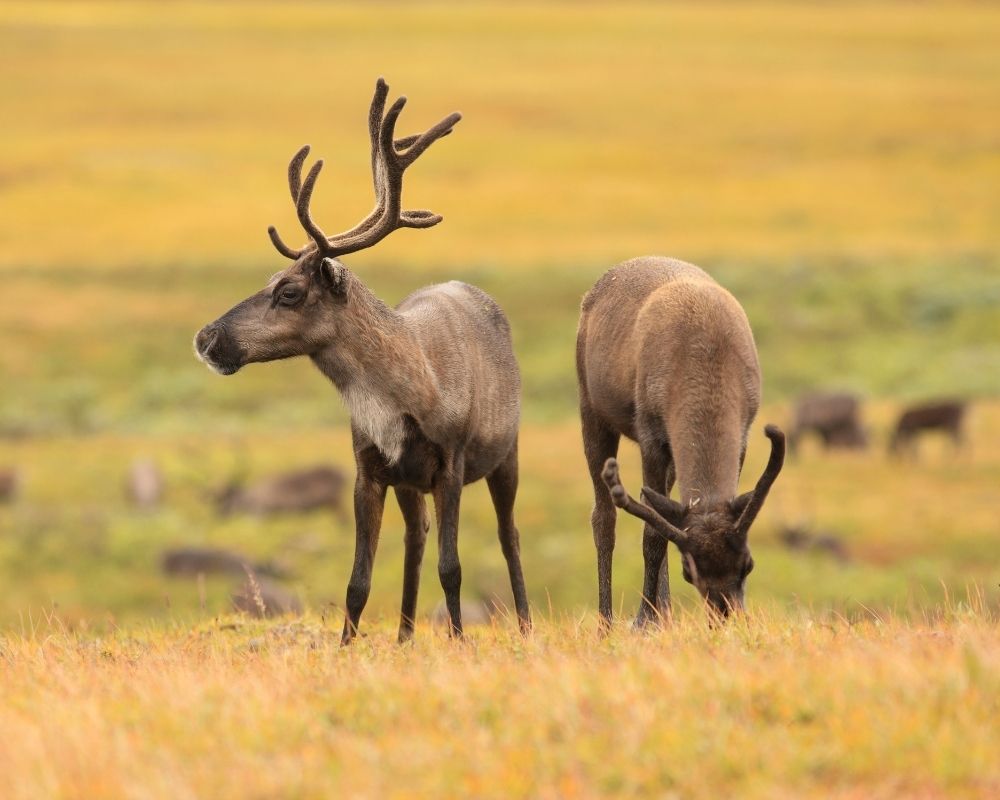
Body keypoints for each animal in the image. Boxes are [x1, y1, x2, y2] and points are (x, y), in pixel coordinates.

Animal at [194, 78, 530, 643]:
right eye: (268, 279)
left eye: (288, 291)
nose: (206, 337)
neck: (402, 396)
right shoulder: (369, 470)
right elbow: (358, 581)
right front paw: (346, 648)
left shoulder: (452, 462)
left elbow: (453, 567)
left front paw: (459, 640)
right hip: (411, 483)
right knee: (416, 538)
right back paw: (404, 636)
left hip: (505, 455)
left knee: (509, 535)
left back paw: (524, 625)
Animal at [576, 257, 785, 625]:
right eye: (689, 572)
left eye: (748, 564)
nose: (723, 616)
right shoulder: (651, 437)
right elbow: (653, 535)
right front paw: (643, 621)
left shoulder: (742, 437)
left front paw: (655, 616)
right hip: (591, 409)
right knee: (603, 517)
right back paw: (608, 623)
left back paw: (664, 613)